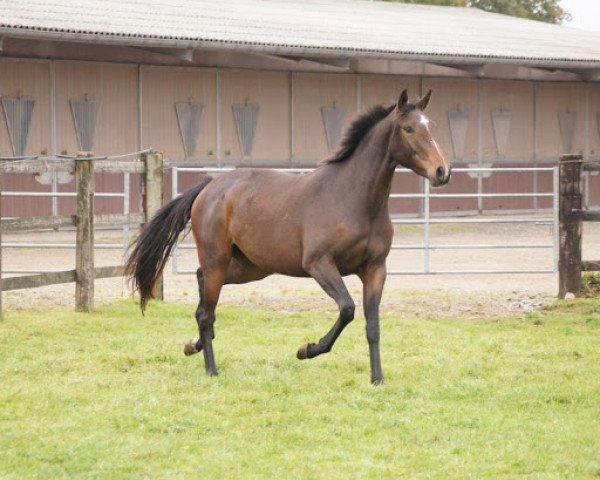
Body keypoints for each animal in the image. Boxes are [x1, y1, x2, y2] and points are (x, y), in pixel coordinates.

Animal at [129, 89, 452, 382]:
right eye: (408, 128)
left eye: (431, 126)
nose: (442, 171)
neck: (353, 199)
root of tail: (209, 186)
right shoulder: (320, 265)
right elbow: (347, 309)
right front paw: (307, 349)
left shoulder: (375, 270)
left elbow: (372, 326)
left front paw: (377, 378)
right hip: (217, 260)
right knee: (205, 313)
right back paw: (211, 369)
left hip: (249, 267)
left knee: (201, 289)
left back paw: (192, 346)